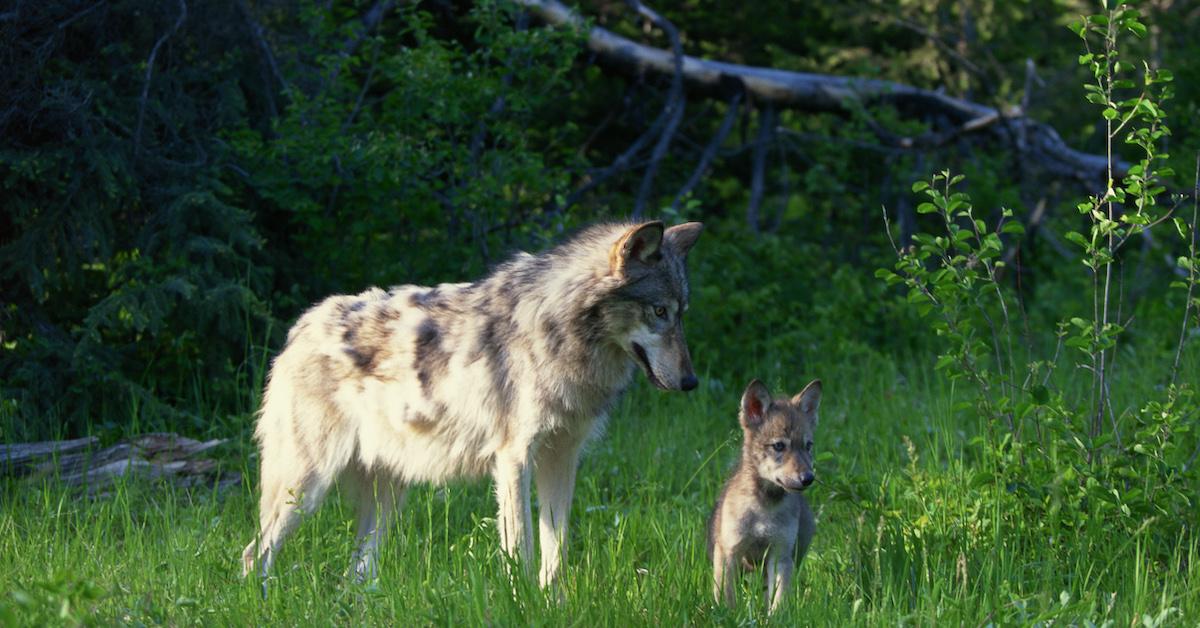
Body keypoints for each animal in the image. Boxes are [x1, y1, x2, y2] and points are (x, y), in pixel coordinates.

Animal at [240, 219, 700, 590]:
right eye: (659, 311)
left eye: (681, 314)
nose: (691, 382)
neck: (561, 333)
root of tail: (301, 327)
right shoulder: (514, 460)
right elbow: (522, 550)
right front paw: (523, 604)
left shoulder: (562, 458)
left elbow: (557, 552)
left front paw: (554, 605)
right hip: (305, 488)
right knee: (253, 555)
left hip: (386, 501)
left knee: (356, 573)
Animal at [705, 379, 820, 614]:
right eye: (779, 446)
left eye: (808, 446)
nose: (808, 478)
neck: (764, 507)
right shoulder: (729, 552)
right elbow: (727, 598)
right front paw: (728, 616)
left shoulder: (780, 555)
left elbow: (779, 601)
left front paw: (775, 618)